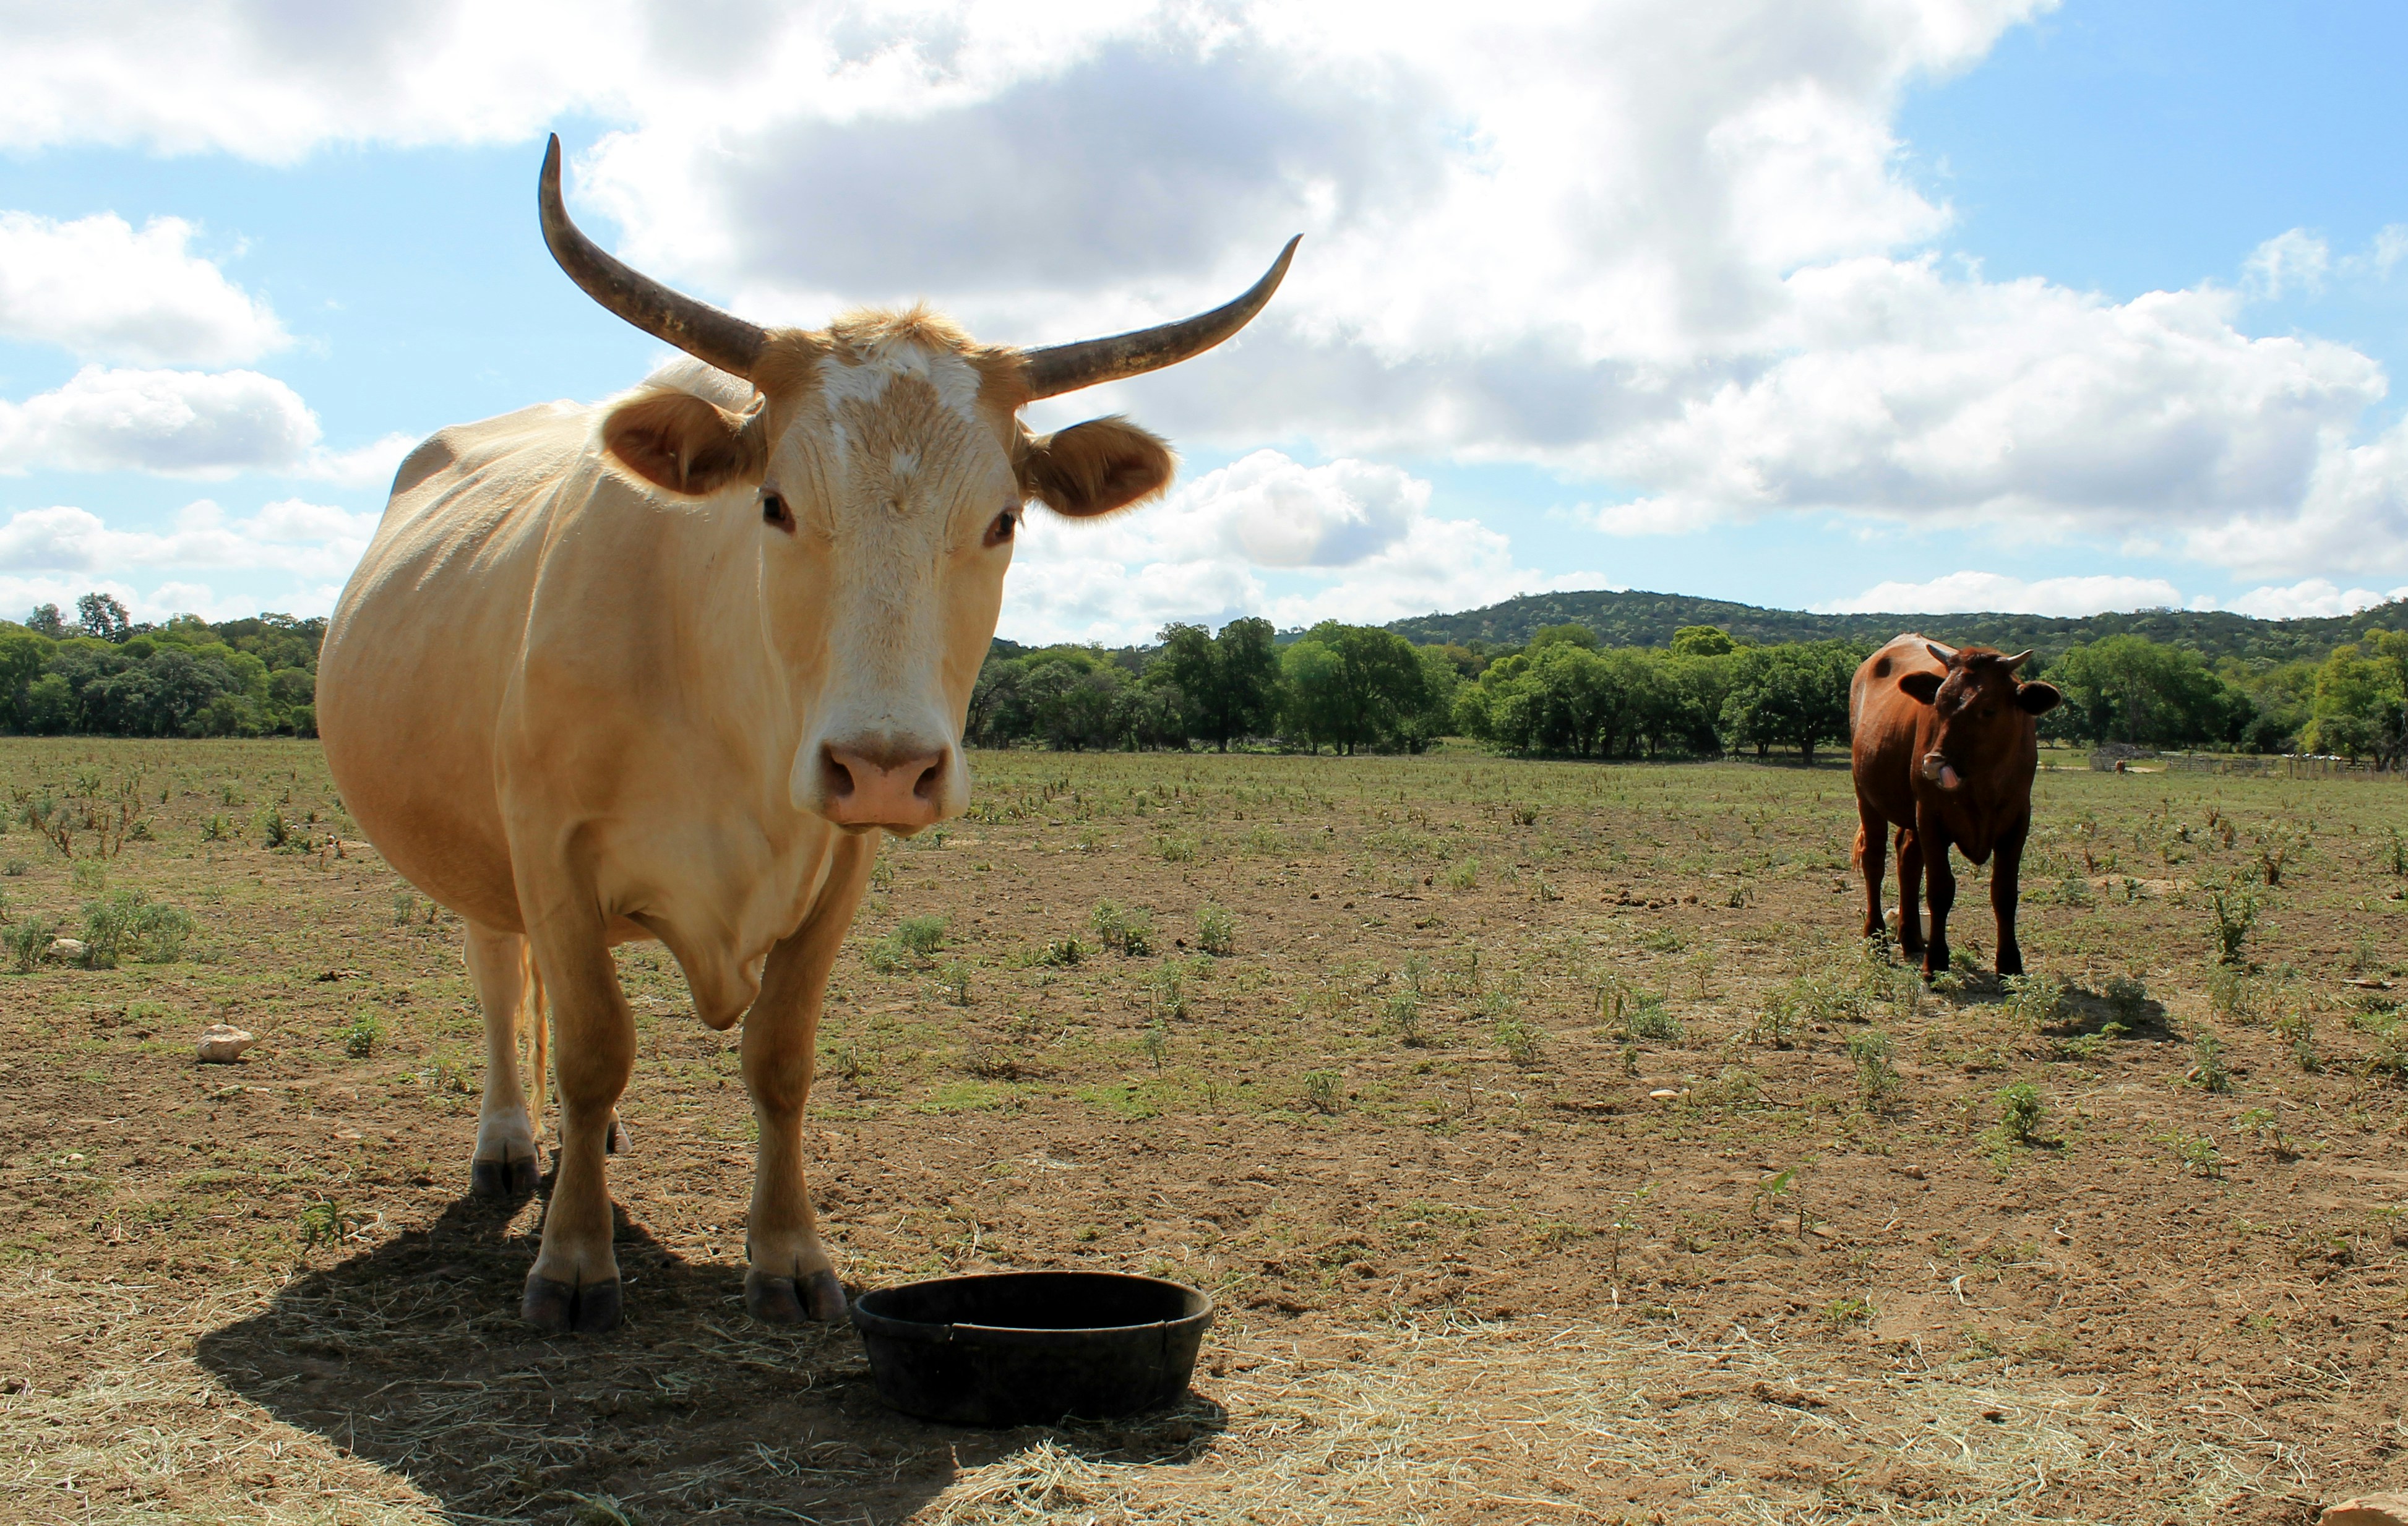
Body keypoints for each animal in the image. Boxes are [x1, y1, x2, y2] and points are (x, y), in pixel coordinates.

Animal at [317, 137, 1295, 1333]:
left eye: (1003, 520)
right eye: (775, 504)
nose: (884, 764)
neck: (733, 717)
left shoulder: (839, 865)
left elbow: (779, 1057)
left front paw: (787, 1254)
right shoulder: (549, 848)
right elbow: (593, 1045)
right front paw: (574, 1261)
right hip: (480, 855)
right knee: (502, 976)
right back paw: (508, 1141)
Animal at [1849, 635, 2062, 981]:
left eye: (1988, 710)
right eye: (1938, 705)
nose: (1933, 764)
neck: (1983, 784)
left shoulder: (2018, 821)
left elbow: (2005, 893)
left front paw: (2010, 966)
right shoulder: (1932, 818)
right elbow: (1940, 889)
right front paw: (1936, 961)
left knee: (1908, 858)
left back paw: (1910, 938)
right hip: (1867, 796)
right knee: (1875, 861)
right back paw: (1877, 938)